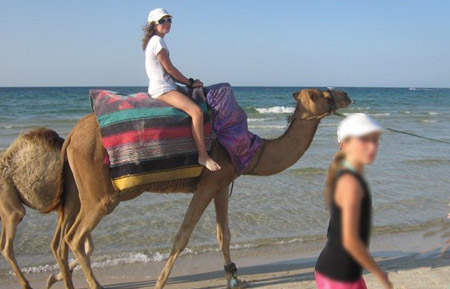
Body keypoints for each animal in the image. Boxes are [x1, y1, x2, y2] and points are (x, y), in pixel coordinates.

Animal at [55, 88, 352, 288]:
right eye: (321, 94)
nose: (346, 94)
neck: (250, 149)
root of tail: (71, 135)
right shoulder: (208, 183)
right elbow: (183, 235)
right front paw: (160, 283)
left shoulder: (222, 184)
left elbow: (224, 234)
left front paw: (235, 278)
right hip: (100, 192)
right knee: (75, 237)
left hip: (79, 190)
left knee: (66, 238)